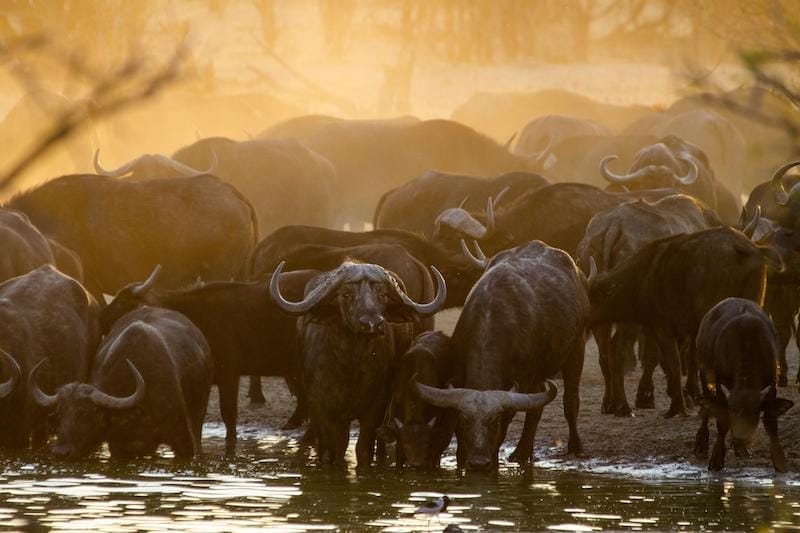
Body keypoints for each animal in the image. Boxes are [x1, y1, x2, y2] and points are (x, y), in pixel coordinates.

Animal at [31, 306, 214, 460]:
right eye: (60, 413)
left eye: (85, 413)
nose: (61, 452)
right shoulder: (119, 447)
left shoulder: (183, 440)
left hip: (198, 417)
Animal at [692, 300, 792, 470]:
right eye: (732, 410)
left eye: (754, 412)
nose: (740, 438)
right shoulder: (720, 384)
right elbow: (722, 421)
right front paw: (717, 458)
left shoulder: (772, 382)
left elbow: (771, 421)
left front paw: (779, 460)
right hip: (703, 371)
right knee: (706, 407)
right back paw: (701, 445)